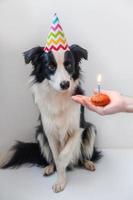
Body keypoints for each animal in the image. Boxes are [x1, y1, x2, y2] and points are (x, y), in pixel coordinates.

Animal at [0, 44, 101, 192]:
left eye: (69, 65)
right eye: (51, 67)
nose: (65, 84)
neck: (59, 96)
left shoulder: (79, 127)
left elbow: (63, 155)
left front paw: (60, 180)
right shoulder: (49, 131)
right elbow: (56, 157)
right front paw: (60, 179)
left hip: (91, 129)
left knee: (83, 156)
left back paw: (88, 163)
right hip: (39, 133)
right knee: (50, 159)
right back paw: (49, 168)